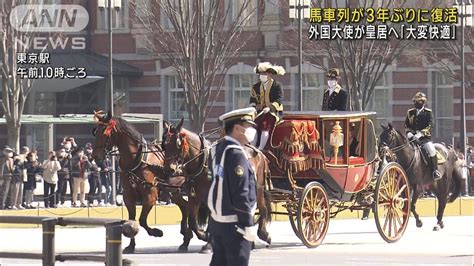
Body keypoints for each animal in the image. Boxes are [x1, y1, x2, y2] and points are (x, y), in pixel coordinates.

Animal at [91, 111, 168, 254]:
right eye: (96, 131)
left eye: (105, 132)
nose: (95, 156)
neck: (137, 160)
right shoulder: (128, 196)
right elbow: (132, 219)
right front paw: (131, 245)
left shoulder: (150, 196)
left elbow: (142, 220)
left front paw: (156, 232)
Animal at [162, 119, 270, 250]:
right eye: (164, 145)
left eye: (178, 144)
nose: (169, 169)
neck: (203, 162)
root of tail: (260, 153)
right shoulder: (194, 196)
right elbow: (192, 220)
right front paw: (204, 236)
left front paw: (208, 240)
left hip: (258, 188)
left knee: (263, 208)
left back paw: (263, 234)